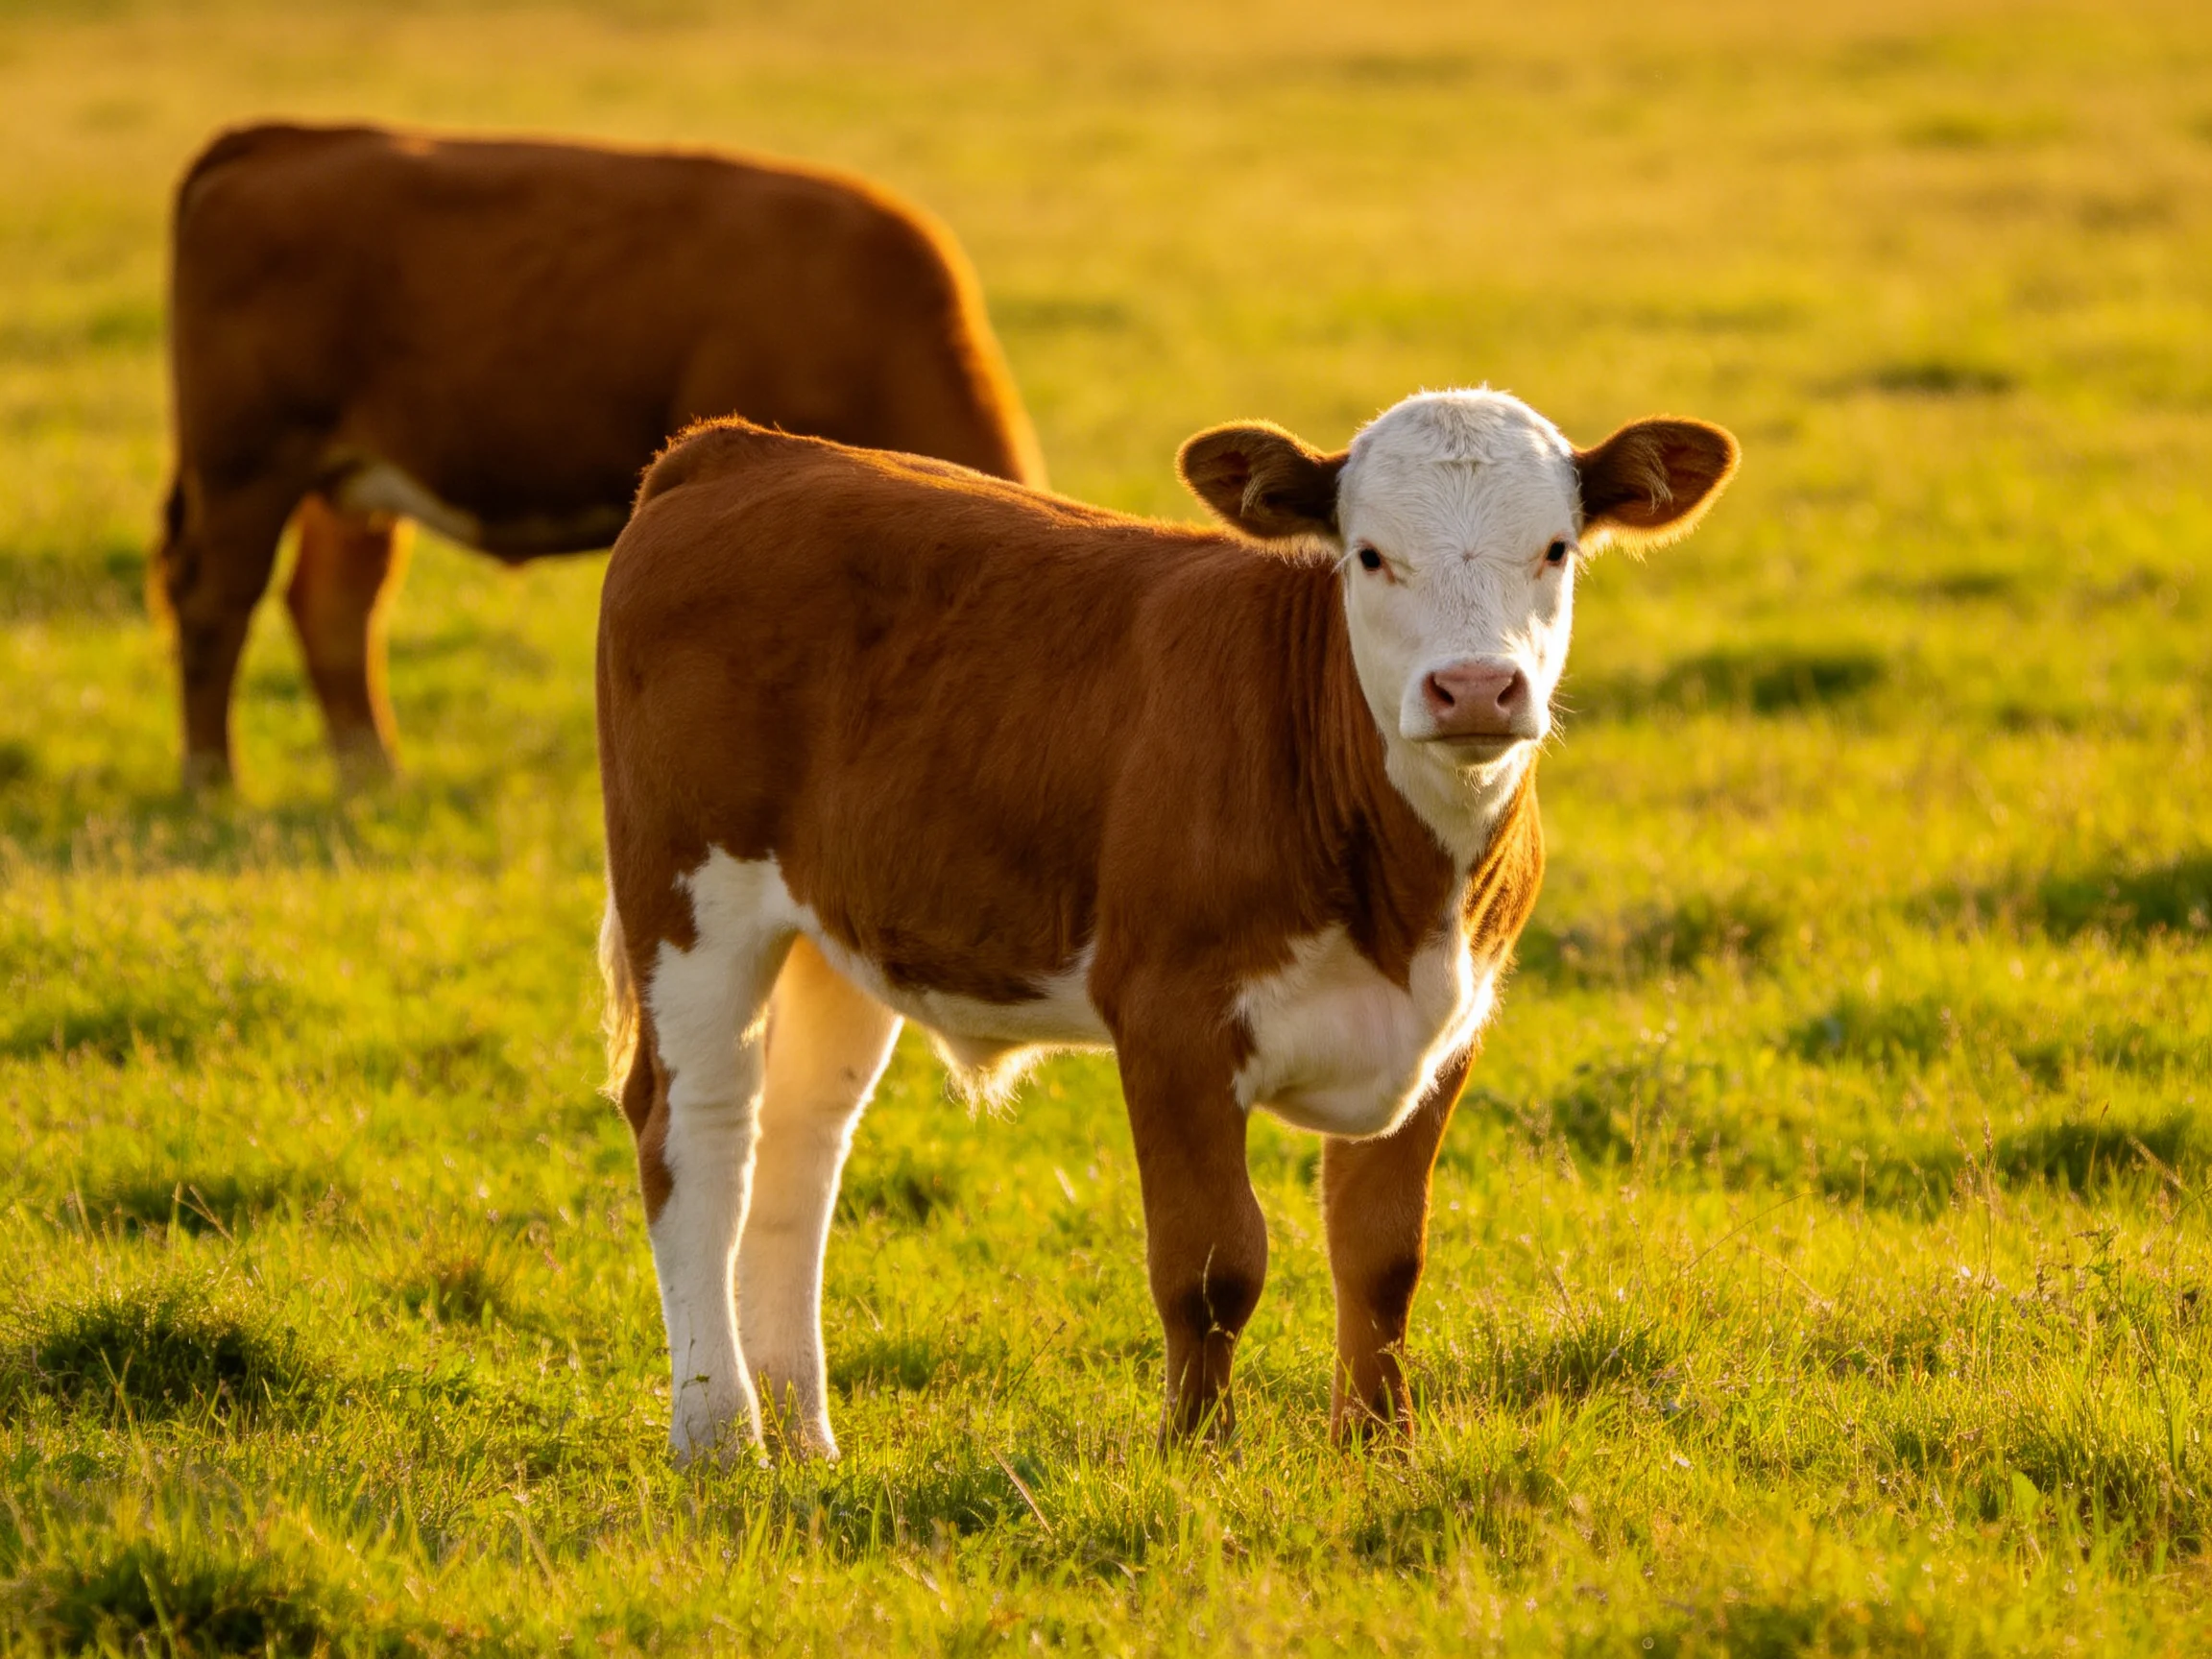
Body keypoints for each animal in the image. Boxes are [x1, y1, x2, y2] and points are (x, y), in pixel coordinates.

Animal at [155, 122, 1044, 788]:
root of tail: (286, 140)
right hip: (246, 466)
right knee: (214, 605)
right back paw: (214, 779)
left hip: (349, 482)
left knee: (335, 609)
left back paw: (373, 776)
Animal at [595, 387, 1738, 1462]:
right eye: (1370, 555)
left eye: (1555, 548)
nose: (1474, 689)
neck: (1403, 896)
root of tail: (737, 447)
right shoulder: (1171, 1020)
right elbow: (1212, 1262)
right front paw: (1196, 1452)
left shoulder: (1449, 1027)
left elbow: (1382, 1256)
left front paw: (1378, 1448)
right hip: (689, 902)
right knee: (692, 1131)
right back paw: (721, 1436)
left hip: (830, 927)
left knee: (799, 1139)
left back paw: (803, 1433)